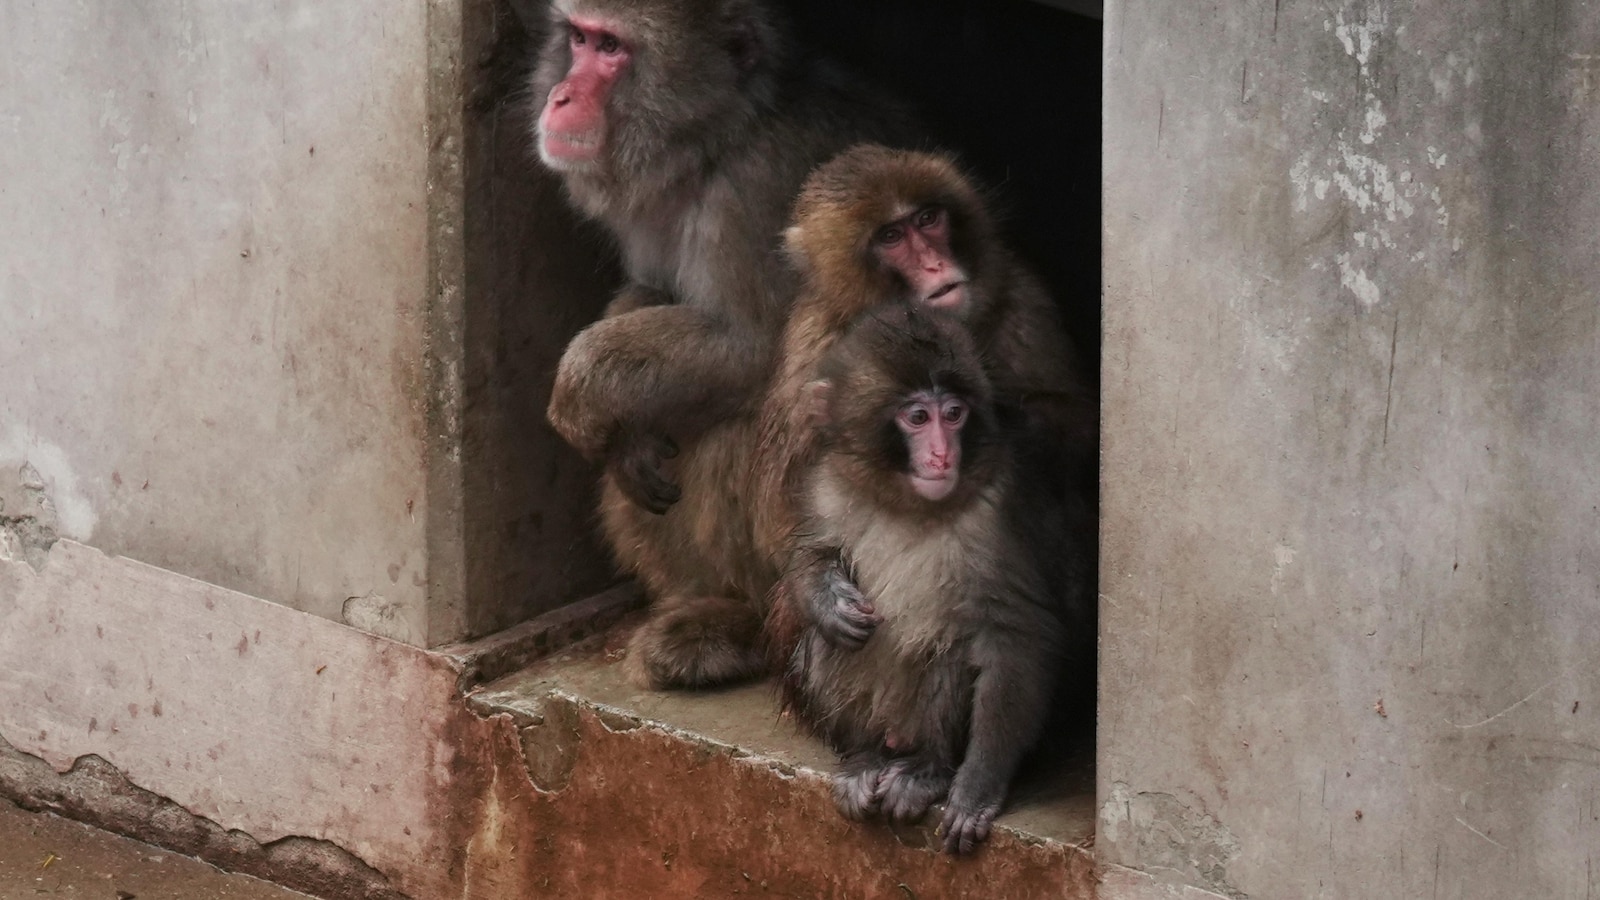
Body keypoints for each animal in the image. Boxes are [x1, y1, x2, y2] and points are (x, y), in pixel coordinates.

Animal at [528, 0, 918, 687]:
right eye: (577, 38)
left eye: (611, 48)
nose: (561, 95)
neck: (717, 143)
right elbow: (650, 290)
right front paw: (628, 440)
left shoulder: (760, 191)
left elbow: (757, 350)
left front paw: (580, 387)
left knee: (739, 426)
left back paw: (743, 627)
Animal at [750, 144, 1097, 570]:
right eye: (891, 237)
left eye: (928, 219)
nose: (935, 263)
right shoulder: (811, 351)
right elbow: (781, 526)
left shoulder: (1021, 298)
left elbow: (1080, 424)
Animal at [766, 303, 1089, 854]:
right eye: (917, 418)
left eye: (953, 414)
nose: (942, 455)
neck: (907, 503)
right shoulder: (828, 482)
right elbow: (806, 553)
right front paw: (826, 600)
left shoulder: (997, 514)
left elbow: (1017, 635)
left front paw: (978, 786)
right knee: (828, 645)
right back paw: (865, 757)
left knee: (950, 652)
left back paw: (927, 769)